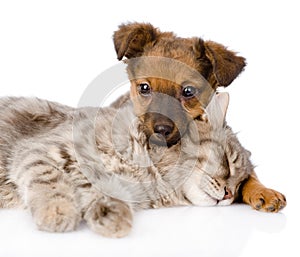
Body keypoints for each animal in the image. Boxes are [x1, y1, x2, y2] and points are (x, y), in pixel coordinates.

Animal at [0, 91, 253, 236]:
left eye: (241, 184)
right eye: (228, 161)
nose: (230, 194)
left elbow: (104, 194)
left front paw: (111, 217)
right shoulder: (42, 151)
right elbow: (51, 183)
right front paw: (58, 212)